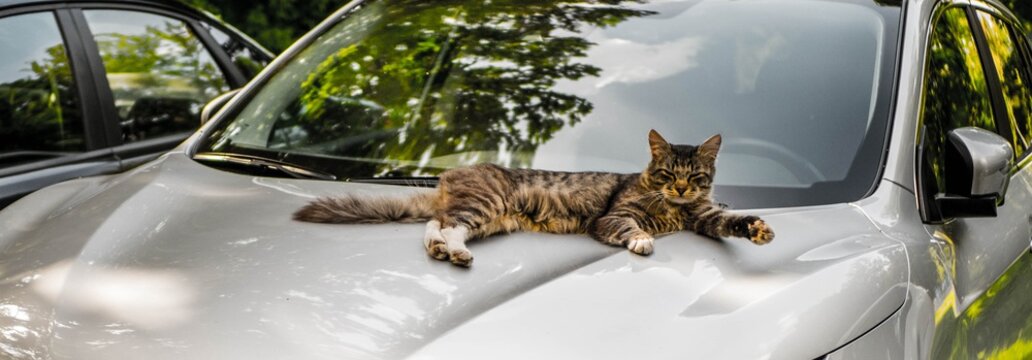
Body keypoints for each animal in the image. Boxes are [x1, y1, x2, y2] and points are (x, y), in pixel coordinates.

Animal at [293, 129, 776, 266]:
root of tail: (451, 174)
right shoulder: (612, 215)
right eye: (666, 174)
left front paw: (758, 228)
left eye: (694, 176)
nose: (679, 188)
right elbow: (630, 225)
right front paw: (642, 240)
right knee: (447, 226)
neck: (674, 209)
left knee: (435, 226)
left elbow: (728, 221)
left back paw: (441, 250)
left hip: (486, 217)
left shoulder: (705, 216)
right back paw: (456, 254)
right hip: (485, 205)